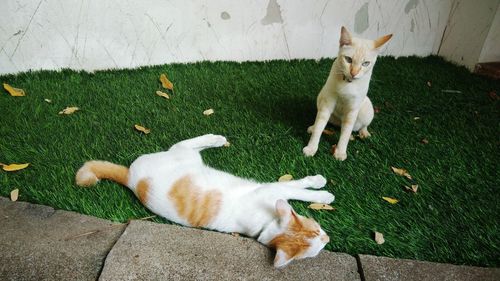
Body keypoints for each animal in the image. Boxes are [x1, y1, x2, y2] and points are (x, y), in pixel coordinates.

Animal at [76, 133, 334, 266]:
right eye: (317, 233)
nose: (328, 238)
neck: (266, 223)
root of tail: (130, 179)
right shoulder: (271, 189)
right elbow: (297, 188)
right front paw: (322, 190)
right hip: (182, 156)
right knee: (182, 144)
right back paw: (216, 138)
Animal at [302, 27, 392, 161]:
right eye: (348, 60)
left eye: (365, 63)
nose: (354, 73)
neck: (347, 83)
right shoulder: (327, 103)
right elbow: (320, 125)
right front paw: (311, 148)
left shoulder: (352, 109)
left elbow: (346, 132)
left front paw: (340, 152)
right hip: (321, 97)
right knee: (329, 123)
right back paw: (312, 128)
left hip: (366, 108)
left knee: (356, 127)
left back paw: (363, 133)